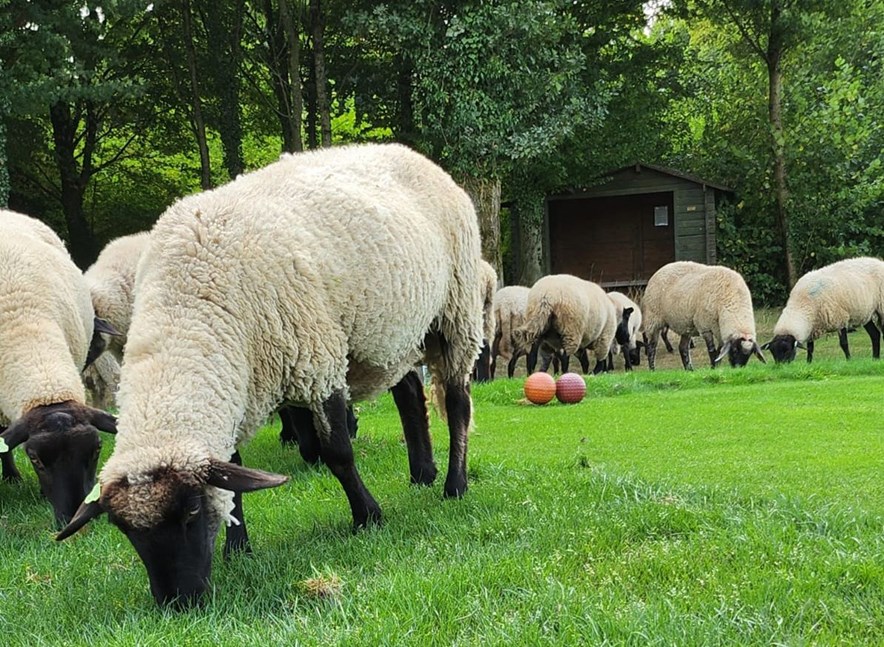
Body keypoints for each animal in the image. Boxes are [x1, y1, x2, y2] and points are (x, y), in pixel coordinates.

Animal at [55, 142, 484, 608]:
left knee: (457, 402)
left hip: (456, 309)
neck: (190, 306)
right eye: (126, 531)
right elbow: (233, 472)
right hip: (391, 333)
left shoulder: (318, 360)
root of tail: (408, 152)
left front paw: (367, 517)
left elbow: (338, 453)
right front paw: (238, 548)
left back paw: (454, 485)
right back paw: (421, 473)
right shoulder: (237, 391)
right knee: (408, 391)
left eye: (190, 511)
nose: (180, 602)